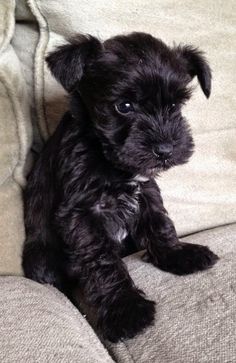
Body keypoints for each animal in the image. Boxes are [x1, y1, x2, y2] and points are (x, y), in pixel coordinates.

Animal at [23, 32, 218, 342]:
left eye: (174, 106)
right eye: (124, 106)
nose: (165, 150)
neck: (108, 159)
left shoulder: (146, 192)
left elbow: (160, 224)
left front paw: (177, 255)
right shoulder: (83, 213)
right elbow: (102, 261)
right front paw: (124, 309)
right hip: (41, 259)